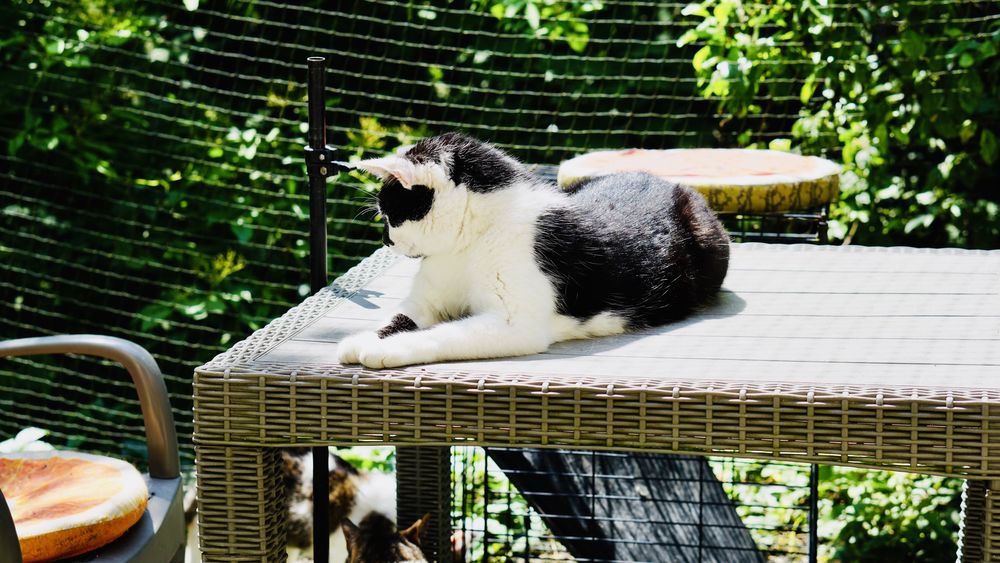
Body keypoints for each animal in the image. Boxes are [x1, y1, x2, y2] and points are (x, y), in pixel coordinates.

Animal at [340, 133, 732, 370]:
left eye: (390, 215)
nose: (386, 241)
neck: (468, 243)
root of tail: (661, 178)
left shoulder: (515, 324)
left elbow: (441, 333)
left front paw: (385, 349)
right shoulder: (426, 301)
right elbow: (397, 319)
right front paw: (362, 339)